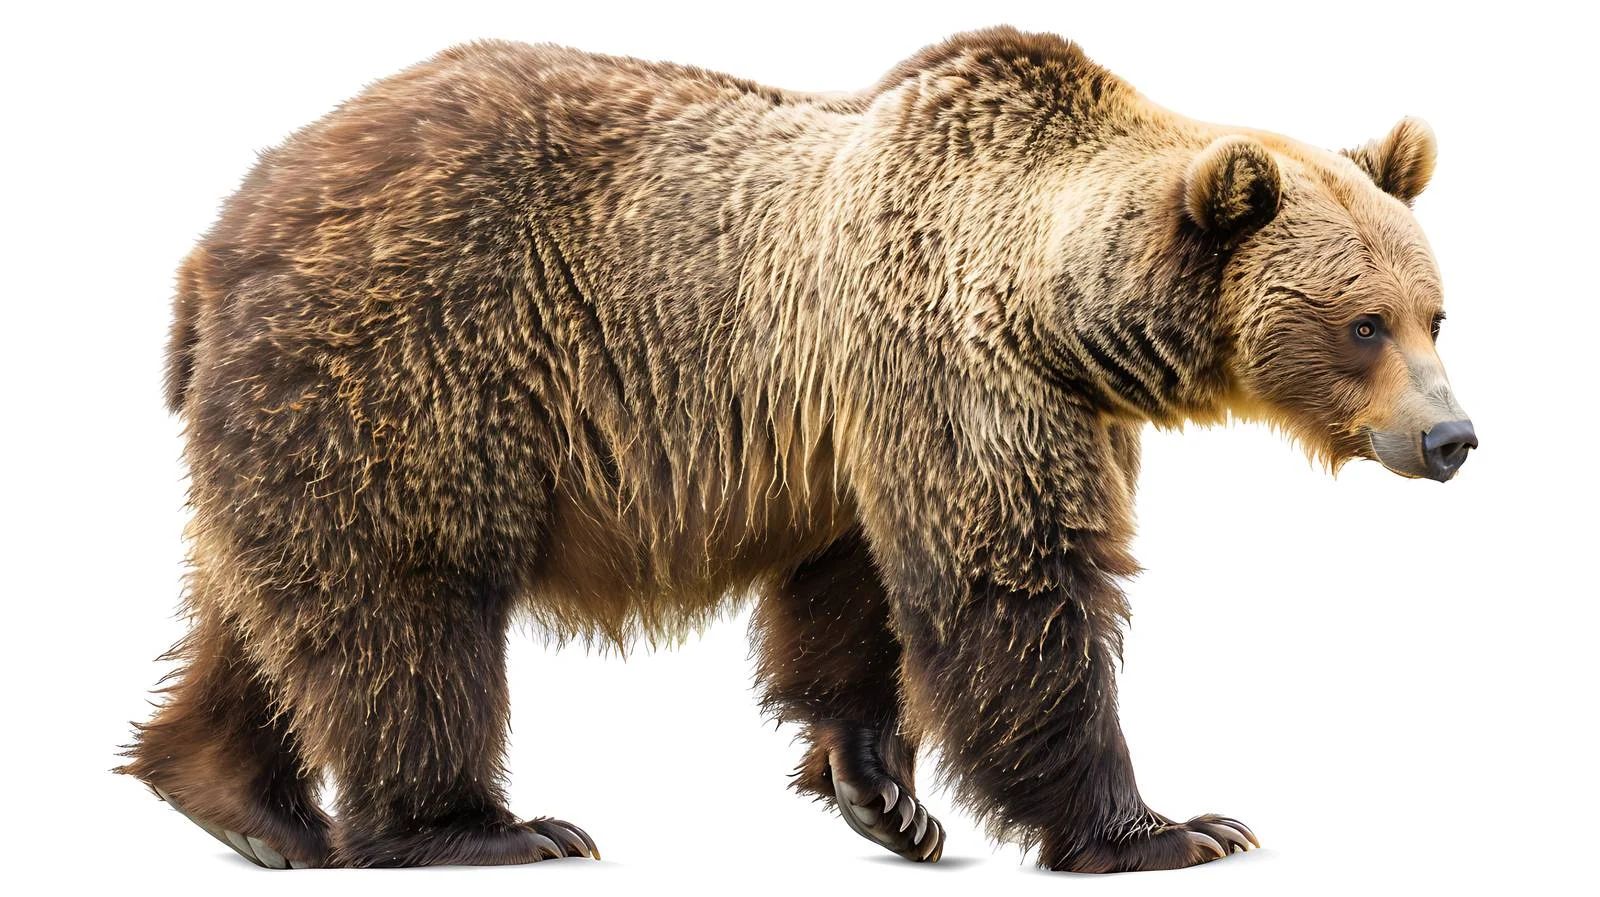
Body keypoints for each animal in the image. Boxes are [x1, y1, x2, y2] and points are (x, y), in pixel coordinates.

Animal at [119, 26, 1476, 871]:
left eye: (1435, 312)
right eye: (1362, 323)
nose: (1451, 435)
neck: (1067, 317)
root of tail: (220, 234)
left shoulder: (867, 424)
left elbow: (856, 593)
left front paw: (884, 796)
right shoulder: (958, 370)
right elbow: (1015, 592)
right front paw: (1168, 827)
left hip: (298, 417)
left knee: (264, 607)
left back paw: (238, 805)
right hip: (413, 363)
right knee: (407, 606)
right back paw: (483, 827)